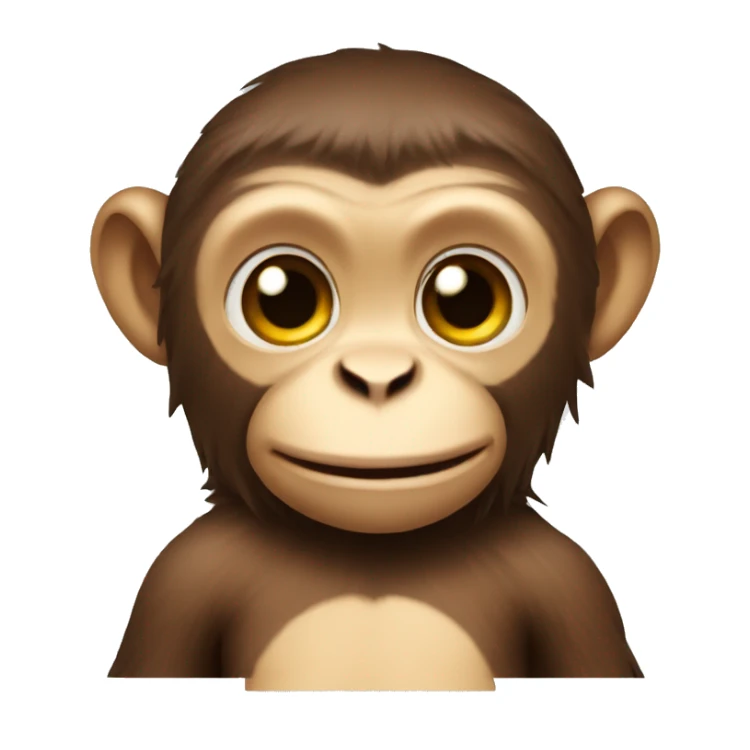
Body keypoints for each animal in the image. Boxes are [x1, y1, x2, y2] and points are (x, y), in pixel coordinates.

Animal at [91, 46, 659, 690]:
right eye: (282, 298)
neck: (375, 557)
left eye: (468, 299)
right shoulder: (179, 580)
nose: (378, 377)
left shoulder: (569, 581)